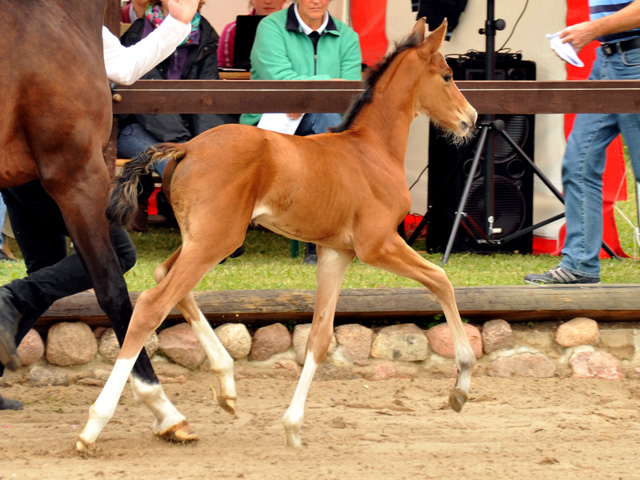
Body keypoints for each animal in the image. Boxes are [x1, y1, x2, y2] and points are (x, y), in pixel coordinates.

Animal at [77, 19, 478, 454]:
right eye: (448, 75)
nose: (470, 118)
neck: (371, 150)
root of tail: (186, 149)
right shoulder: (378, 244)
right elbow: (441, 280)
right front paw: (461, 386)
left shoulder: (335, 252)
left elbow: (319, 337)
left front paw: (293, 425)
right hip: (217, 240)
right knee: (152, 304)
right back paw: (95, 424)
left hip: (201, 239)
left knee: (165, 277)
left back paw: (225, 384)